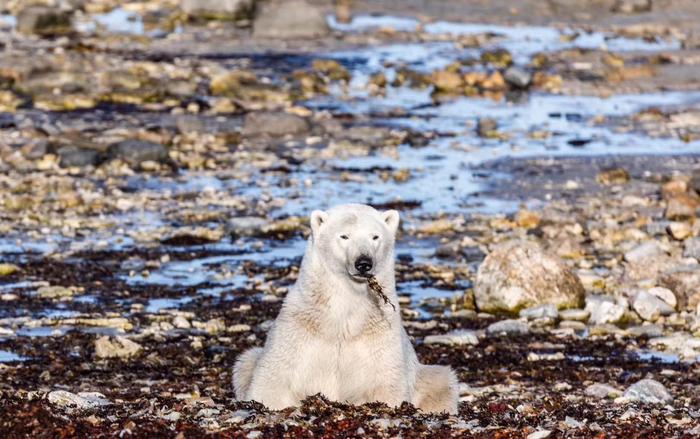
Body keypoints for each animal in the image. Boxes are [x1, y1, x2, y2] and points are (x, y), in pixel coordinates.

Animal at [231, 205, 460, 414]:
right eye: (344, 236)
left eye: (375, 236)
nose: (364, 263)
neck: (343, 316)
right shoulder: (299, 328)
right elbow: (271, 380)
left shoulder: (380, 333)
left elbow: (386, 383)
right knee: (245, 360)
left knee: (442, 379)